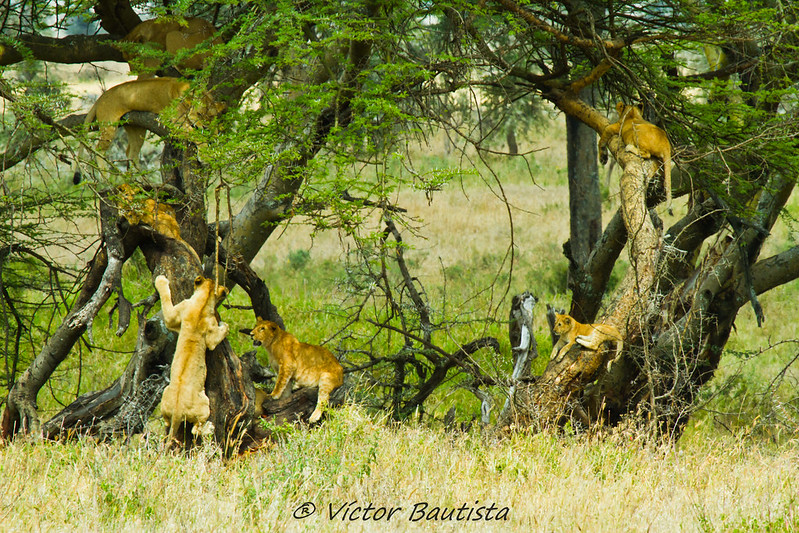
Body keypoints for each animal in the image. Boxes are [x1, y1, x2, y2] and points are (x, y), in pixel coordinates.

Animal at [72, 75, 223, 183]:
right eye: (199, 114)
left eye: (211, 116)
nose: (205, 126)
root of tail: (101, 96)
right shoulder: (177, 122)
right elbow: (198, 136)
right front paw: (205, 156)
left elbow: (214, 132)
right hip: (109, 125)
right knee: (99, 149)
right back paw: (105, 177)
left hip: (136, 129)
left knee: (131, 153)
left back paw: (139, 179)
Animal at [155, 274, 228, 440]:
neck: (203, 301)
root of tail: (177, 411)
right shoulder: (211, 336)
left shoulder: (174, 316)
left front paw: (160, 280)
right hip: (204, 404)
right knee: (196, 429)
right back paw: (210, 427)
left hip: (166, 395)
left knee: (169, 422)